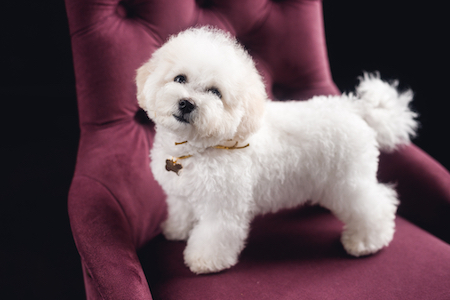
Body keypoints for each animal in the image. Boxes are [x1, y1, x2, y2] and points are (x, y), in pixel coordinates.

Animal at [135, 26, 416, 274]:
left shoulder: (222, 206)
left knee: (374, 204)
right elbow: (181, 211)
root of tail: (353, 108)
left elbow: (213, 234)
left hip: (349, 181)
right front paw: (176, 230)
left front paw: (204, 260)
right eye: (180, 78)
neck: (198, 147)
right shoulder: (180, 195)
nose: (187, 103)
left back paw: (366, 241)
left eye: (215, 92)